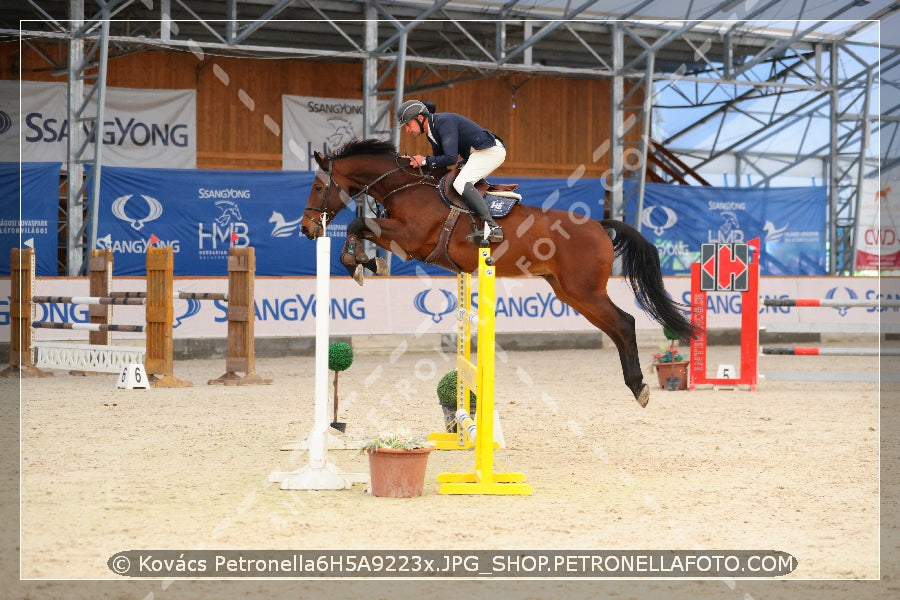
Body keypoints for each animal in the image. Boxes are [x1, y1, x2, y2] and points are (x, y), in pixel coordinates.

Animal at [300, 138, 696, 406]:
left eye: (318, 186)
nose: (307, 229)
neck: (407, 186)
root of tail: (599, 226)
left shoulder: (410, 239)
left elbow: (358, 223)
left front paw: (363, 264)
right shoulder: (402, 239)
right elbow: (360, 228)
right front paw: (362, 263)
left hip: (585, 290)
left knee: (624, 323)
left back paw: (639, 386)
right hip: (571, 293)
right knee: (614, 328)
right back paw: (635, 383)